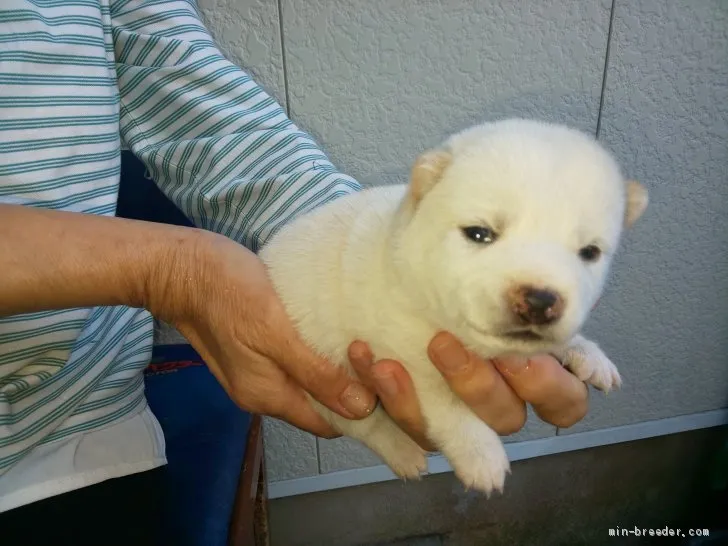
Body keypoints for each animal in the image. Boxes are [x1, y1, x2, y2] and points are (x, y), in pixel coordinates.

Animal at [258, 117, 648, 490]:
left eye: (590, 252)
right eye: (479, 233)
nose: (539, 301)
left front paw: (588, 355)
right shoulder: (408, 358)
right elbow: (451, 409)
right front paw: (483, 458)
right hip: (327, 380)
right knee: (362, 422)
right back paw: (404, 454)